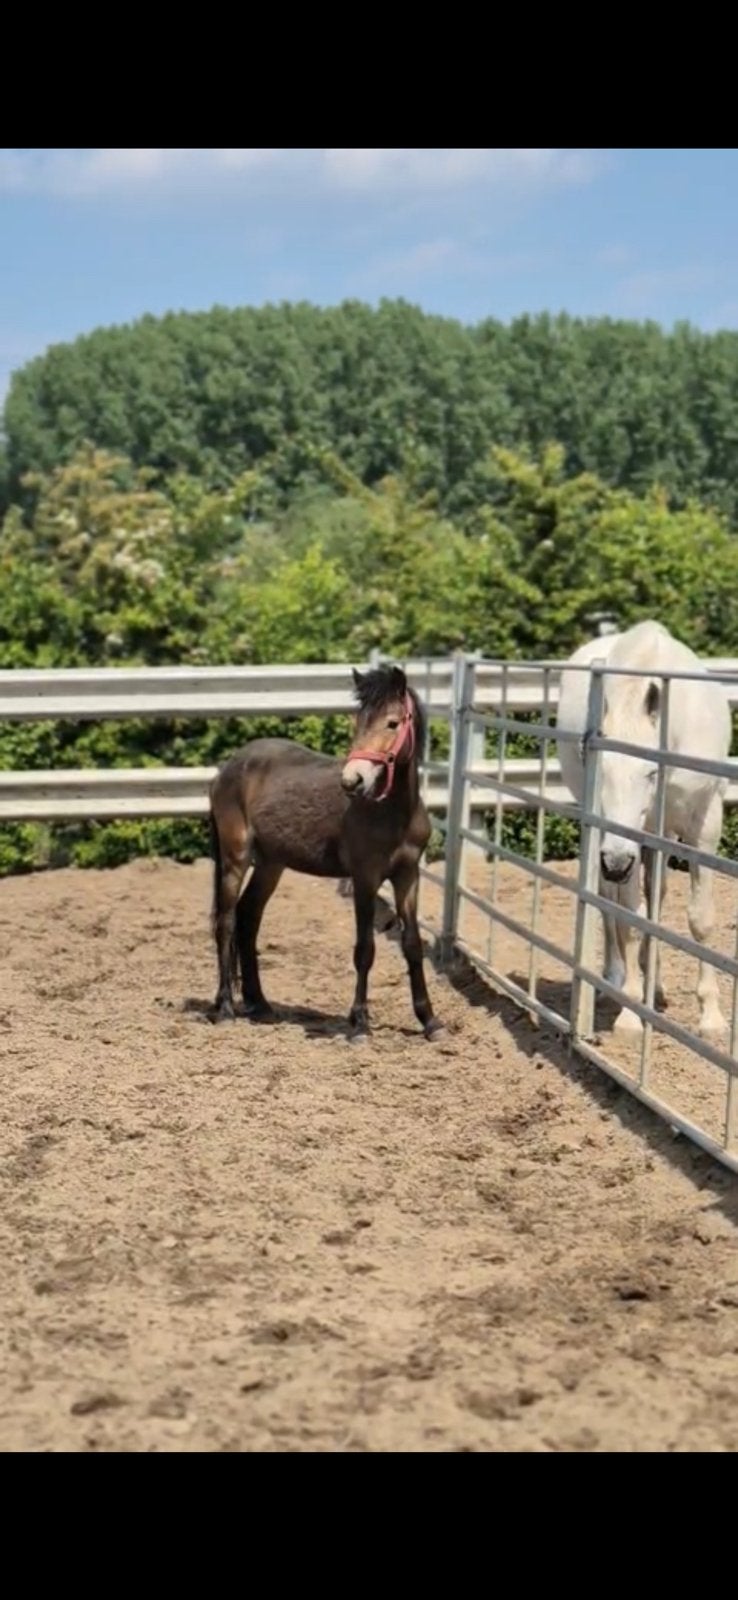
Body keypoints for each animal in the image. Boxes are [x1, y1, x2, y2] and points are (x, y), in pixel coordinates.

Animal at [208, 663, 442, 1040]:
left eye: (392, 723)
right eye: (358, 722)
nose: (352, 781)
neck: (392, 812)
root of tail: (227, 768)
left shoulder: (408, 876)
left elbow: (412, 945)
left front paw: (430, 1020)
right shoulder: (365, 878)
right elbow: (365, 949)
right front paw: (360, 1023)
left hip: (271, 864)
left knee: (248, 917)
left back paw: (260, 1004)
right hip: (235, 857)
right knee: (226, 922)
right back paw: (226, 1008)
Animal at [557, 620, 732, 1038]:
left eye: (650, 772)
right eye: (600, 770)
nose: (616, 862)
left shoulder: (704, 824)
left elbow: (700, 920)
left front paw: (711, 1017)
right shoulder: (624, 840)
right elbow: (629, 919)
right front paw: (631, 1015)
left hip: (658, 837)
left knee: (655, 896)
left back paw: (656, 986)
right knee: (609, 901)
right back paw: (615, 979)